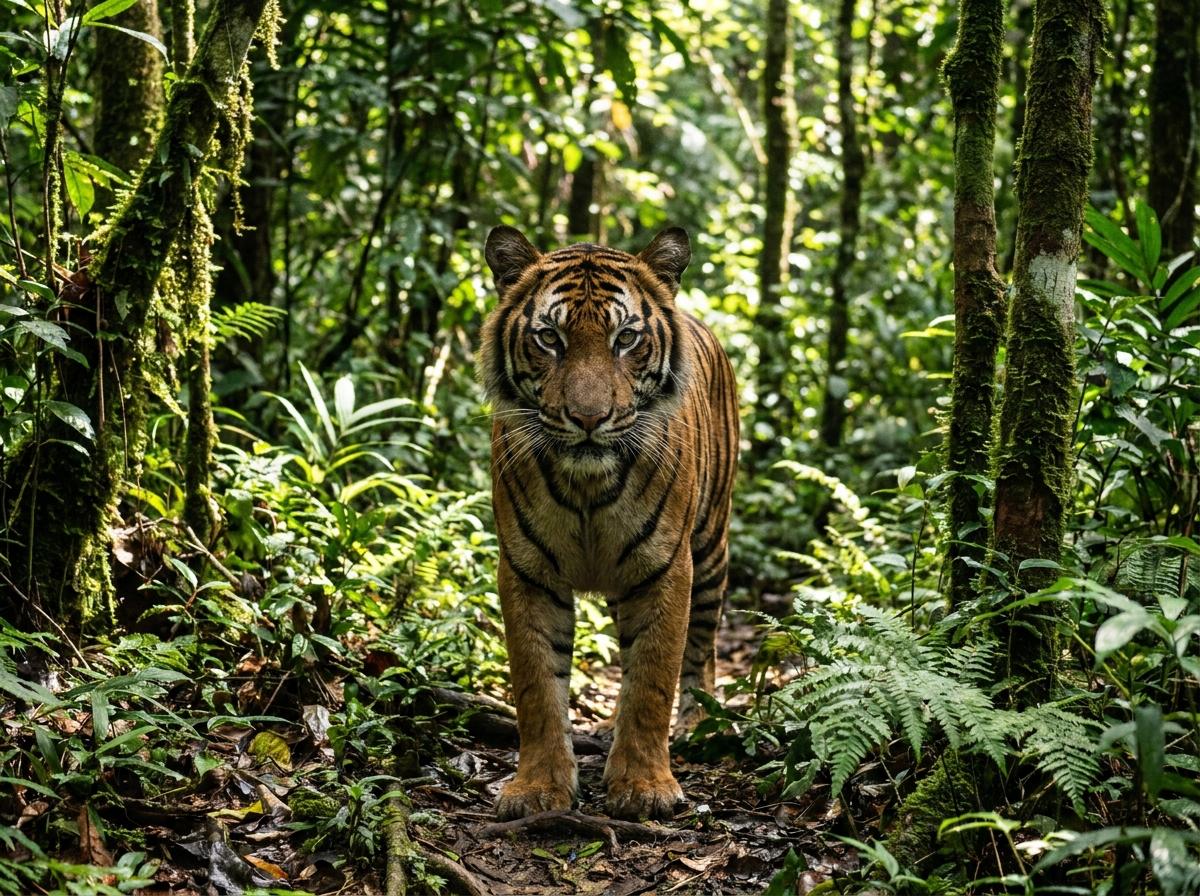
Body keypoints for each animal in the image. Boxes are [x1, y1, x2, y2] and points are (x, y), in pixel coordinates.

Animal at [478, 224, 739, 820]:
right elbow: (537, 686)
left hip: (711, 549)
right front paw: (537, 788)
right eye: (549, 338)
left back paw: (697, 722)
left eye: (626, 338)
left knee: (702, 647)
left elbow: (653, 679)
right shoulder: (526, 571)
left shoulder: (665, 568)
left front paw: (644, 787)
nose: (589, 418)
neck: (587, 487)